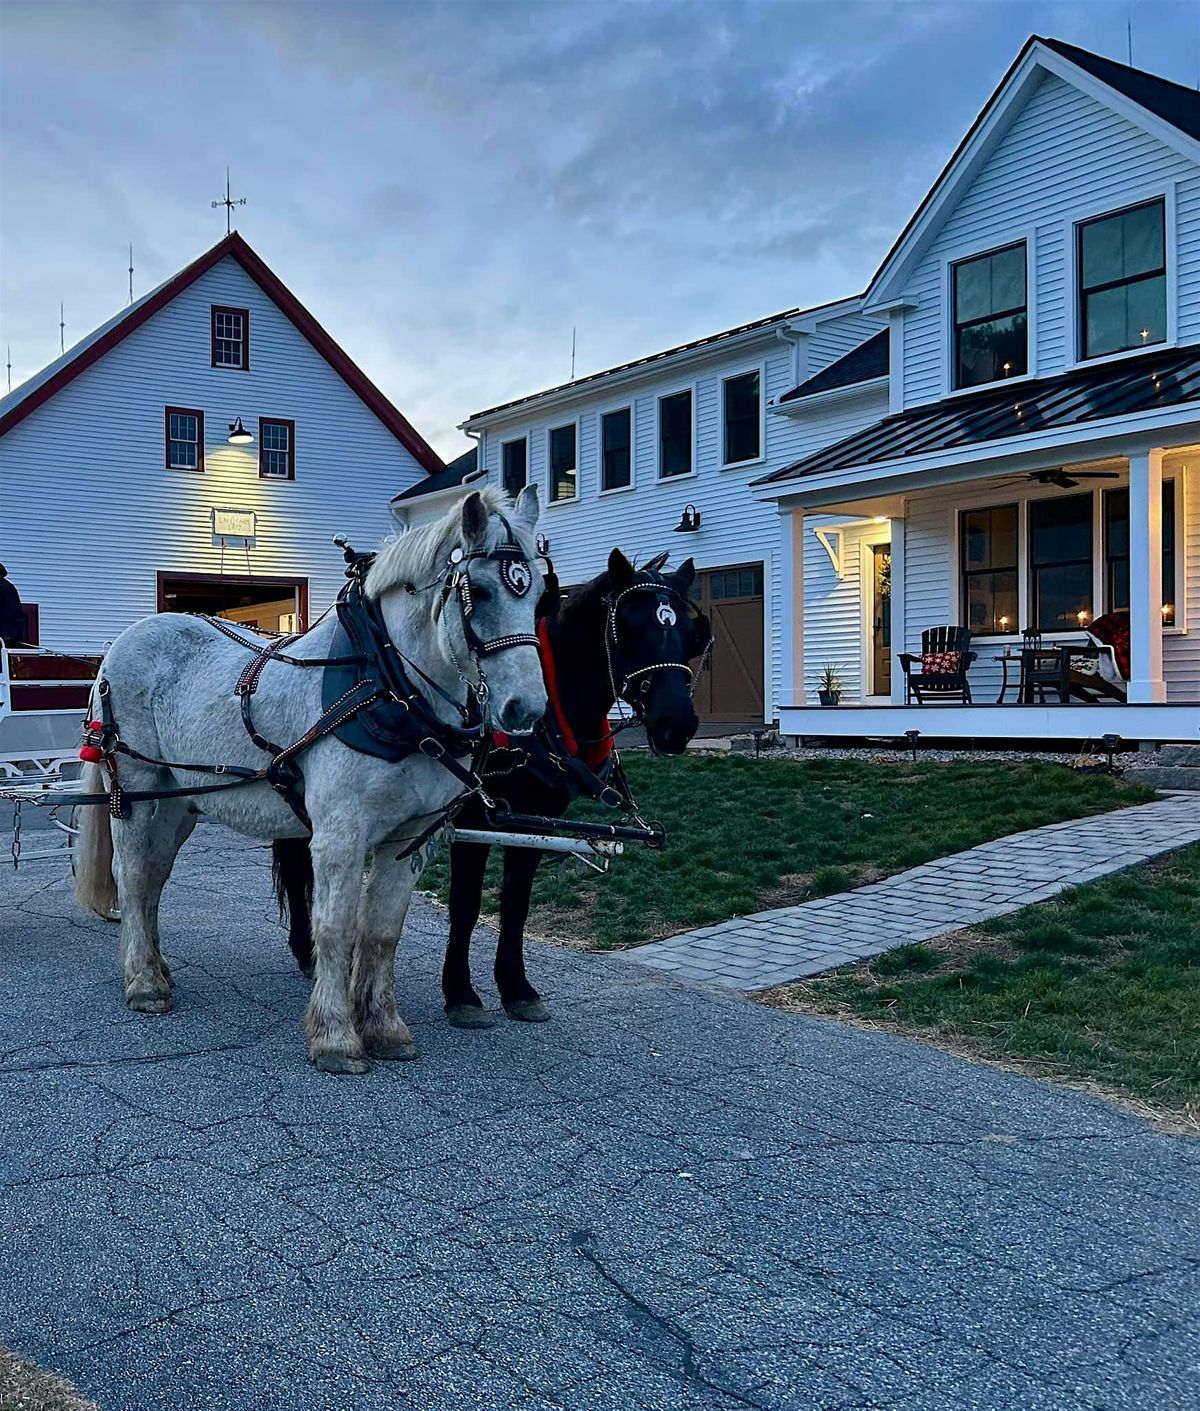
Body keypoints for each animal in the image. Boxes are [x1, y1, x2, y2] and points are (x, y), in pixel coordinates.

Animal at [271, 547, 705, 1027]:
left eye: (690, 633)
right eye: (629, 626)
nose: (677, 726)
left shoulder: (537, 821)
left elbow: (516, 904)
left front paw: (517, 988)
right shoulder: (473, 819)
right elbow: (466, 903)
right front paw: (462, 993)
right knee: (298, 866)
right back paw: (307, 950)